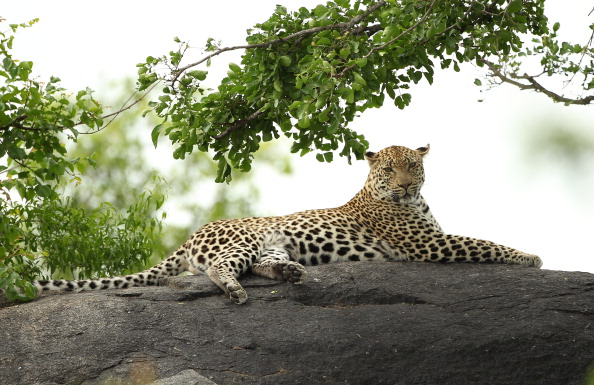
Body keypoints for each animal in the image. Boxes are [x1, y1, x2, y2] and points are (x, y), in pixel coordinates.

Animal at [32, 144, 540, 304]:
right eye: (388, 169)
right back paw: (236, 291)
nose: (403, 185)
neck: (413, 201)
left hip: (272, 244)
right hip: (240, 242)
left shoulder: (432, 238)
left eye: (412, 167)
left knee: (262, 266)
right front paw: (529, 256)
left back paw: (292, 273)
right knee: (219, 270)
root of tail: (194, 233)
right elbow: (482, 242)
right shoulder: (428, 245)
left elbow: (478, 239)